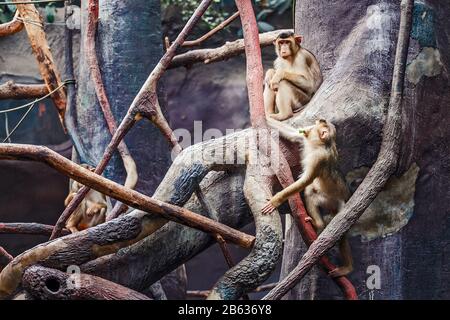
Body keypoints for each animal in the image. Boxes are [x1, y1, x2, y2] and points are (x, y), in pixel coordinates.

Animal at [262, 118, 354, 278]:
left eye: (321, 125)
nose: (319, 119)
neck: (320, 145)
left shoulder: (318, 158)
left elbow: (305, 181)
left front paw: (275, 200)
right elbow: (293, 134)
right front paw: (266, 117)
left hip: (338, 203)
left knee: (341, 228)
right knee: (310, 192)